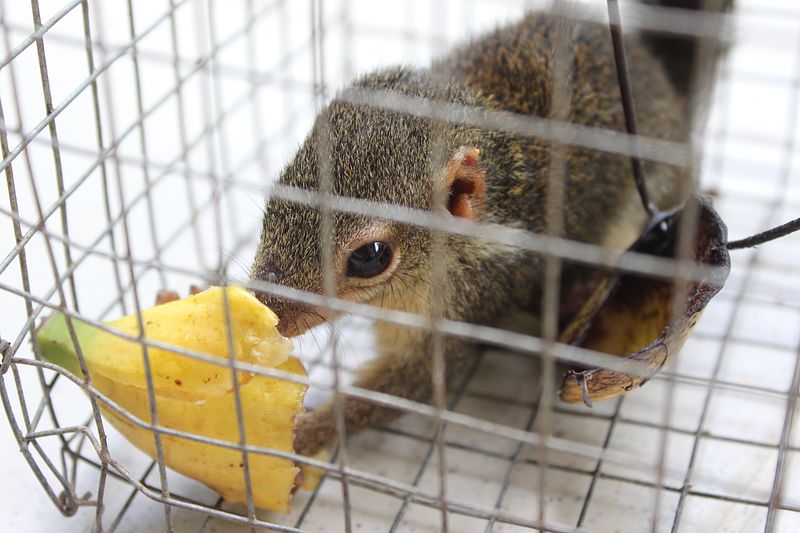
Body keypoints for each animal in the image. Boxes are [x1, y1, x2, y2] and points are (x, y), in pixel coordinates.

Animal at [250, 0, 731, 456]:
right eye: (275, 197)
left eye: (369, 257)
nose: (267, 310)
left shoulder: (466, 300)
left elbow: (411, 386)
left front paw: (302, 435)